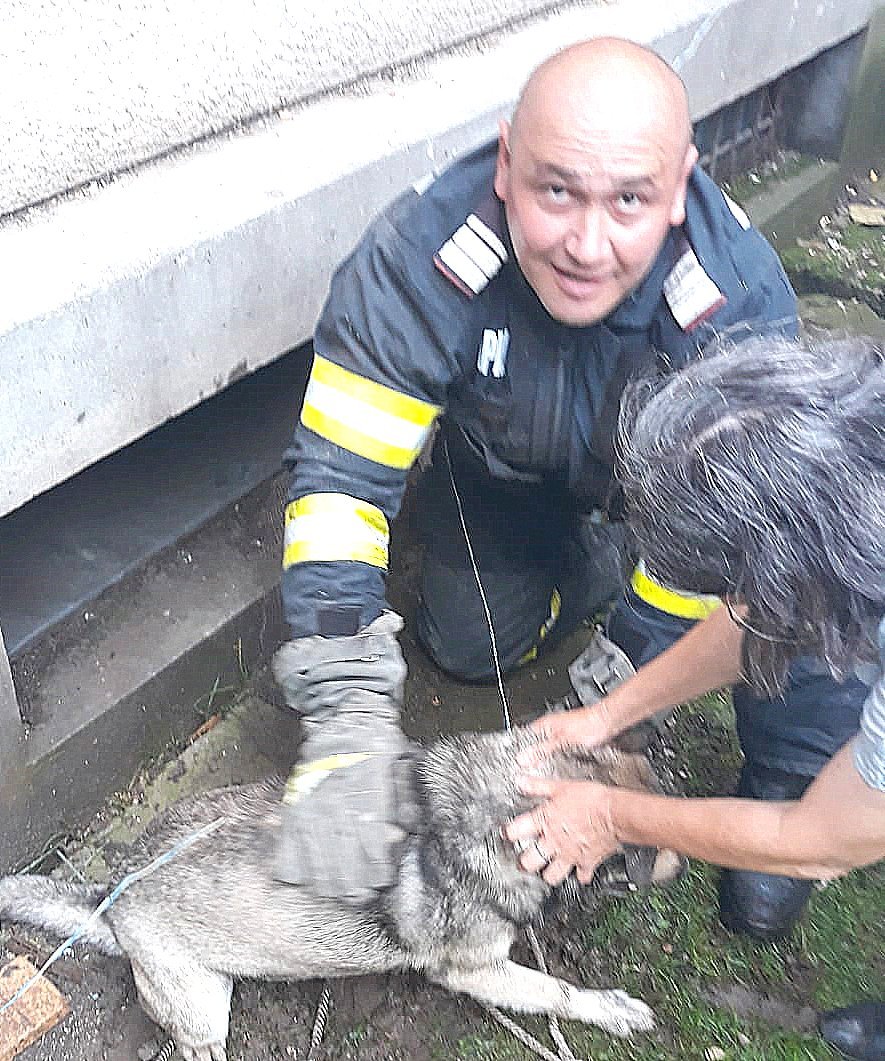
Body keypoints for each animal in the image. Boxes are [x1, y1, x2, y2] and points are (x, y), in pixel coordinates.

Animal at [0, 729, 683, 1061]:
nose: (683, 863)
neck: (490, 809)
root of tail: (112, 894)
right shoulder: (474, 970)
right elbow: (556, 991)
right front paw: (614, 1010)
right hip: (203, 1008)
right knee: (192, 1042)